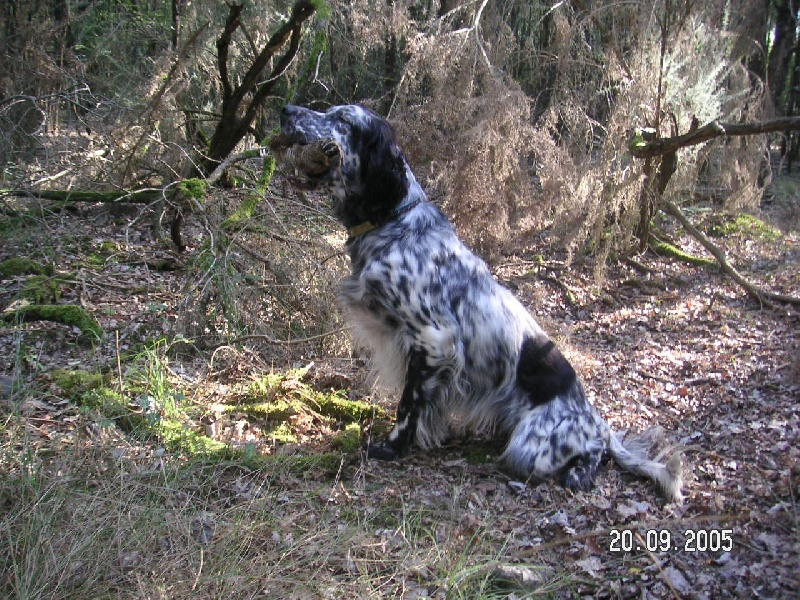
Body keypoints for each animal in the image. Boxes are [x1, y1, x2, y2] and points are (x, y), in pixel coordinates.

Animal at [276, 104, 683, 502]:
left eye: (343, 119)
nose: (287, 109)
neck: (394, 224)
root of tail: (592, 416)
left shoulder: (433, 340)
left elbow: (408, 404)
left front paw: (390, 447)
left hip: (532, 447)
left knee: (594, 450)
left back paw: (580, 472)